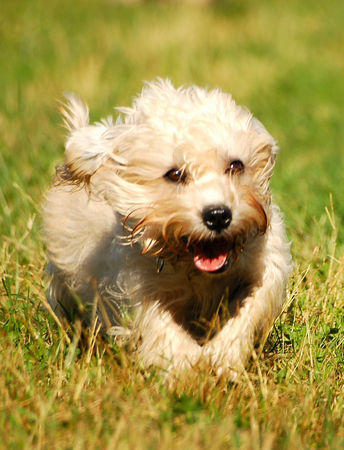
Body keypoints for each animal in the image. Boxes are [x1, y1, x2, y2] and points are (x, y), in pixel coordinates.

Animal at [42, 79, 290, 378]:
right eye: (174, 174)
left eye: (236, 165)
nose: (218, 215)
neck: (192, 267)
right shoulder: (137, 284)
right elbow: (159, 325)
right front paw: (186, 364)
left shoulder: (264, 265)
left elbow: (250, 307)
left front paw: (222, 356)